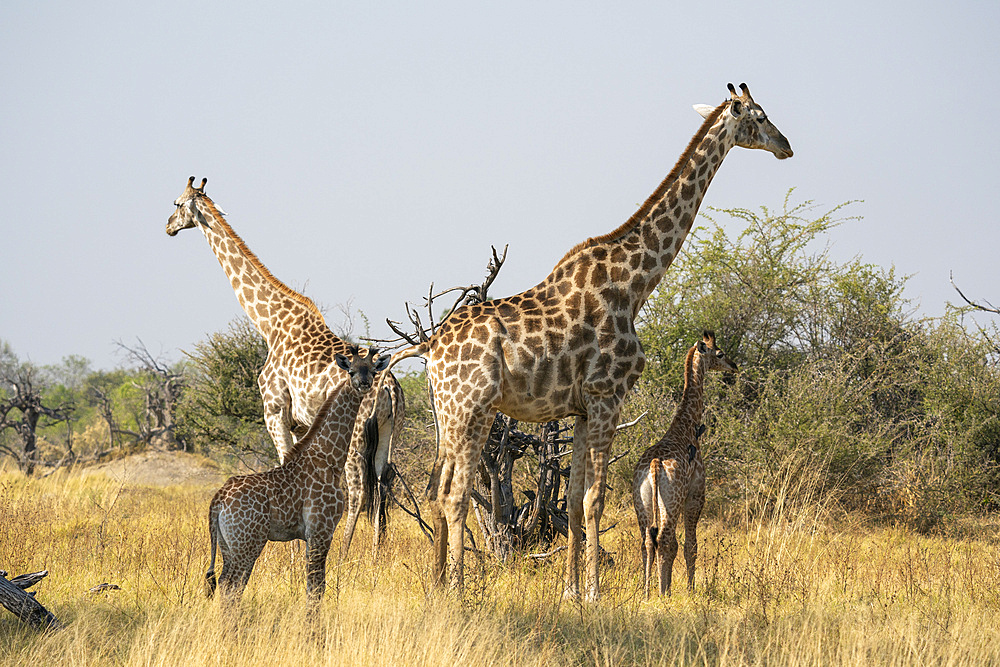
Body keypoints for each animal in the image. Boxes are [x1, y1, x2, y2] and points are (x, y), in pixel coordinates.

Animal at [168, 179, 406, 560]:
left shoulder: (274, 412)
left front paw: (290, 550)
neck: (270, 324)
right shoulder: (300, 423)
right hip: (388, 431)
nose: (168, 226)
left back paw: (344, 555)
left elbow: (283, 468)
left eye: (176, 203)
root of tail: (388, 386)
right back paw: (375, 555)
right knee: (384, 483)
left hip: (357, 434)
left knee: (358, 489)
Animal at [204, 344, 390, 604]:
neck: (330, 457)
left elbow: (313, 586)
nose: (363, 383)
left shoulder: (311, 535)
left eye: (372, 371)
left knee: (224, 583)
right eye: (352, 371)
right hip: (247, 543)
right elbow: (317, 588)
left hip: (226, 544)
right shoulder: (321, 529)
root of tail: (217, 501)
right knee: (233, 586)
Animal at [636, 332, 740, 596]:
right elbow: (691, 544)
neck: (687, 426)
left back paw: (647, 592)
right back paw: (663, 593)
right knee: (665, 540)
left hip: (641, 501)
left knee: (647, 541)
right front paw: (691, 589)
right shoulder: (696, 494)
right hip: (671, 501)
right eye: (720, 353)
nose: (733, 366)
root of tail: (654, 465)